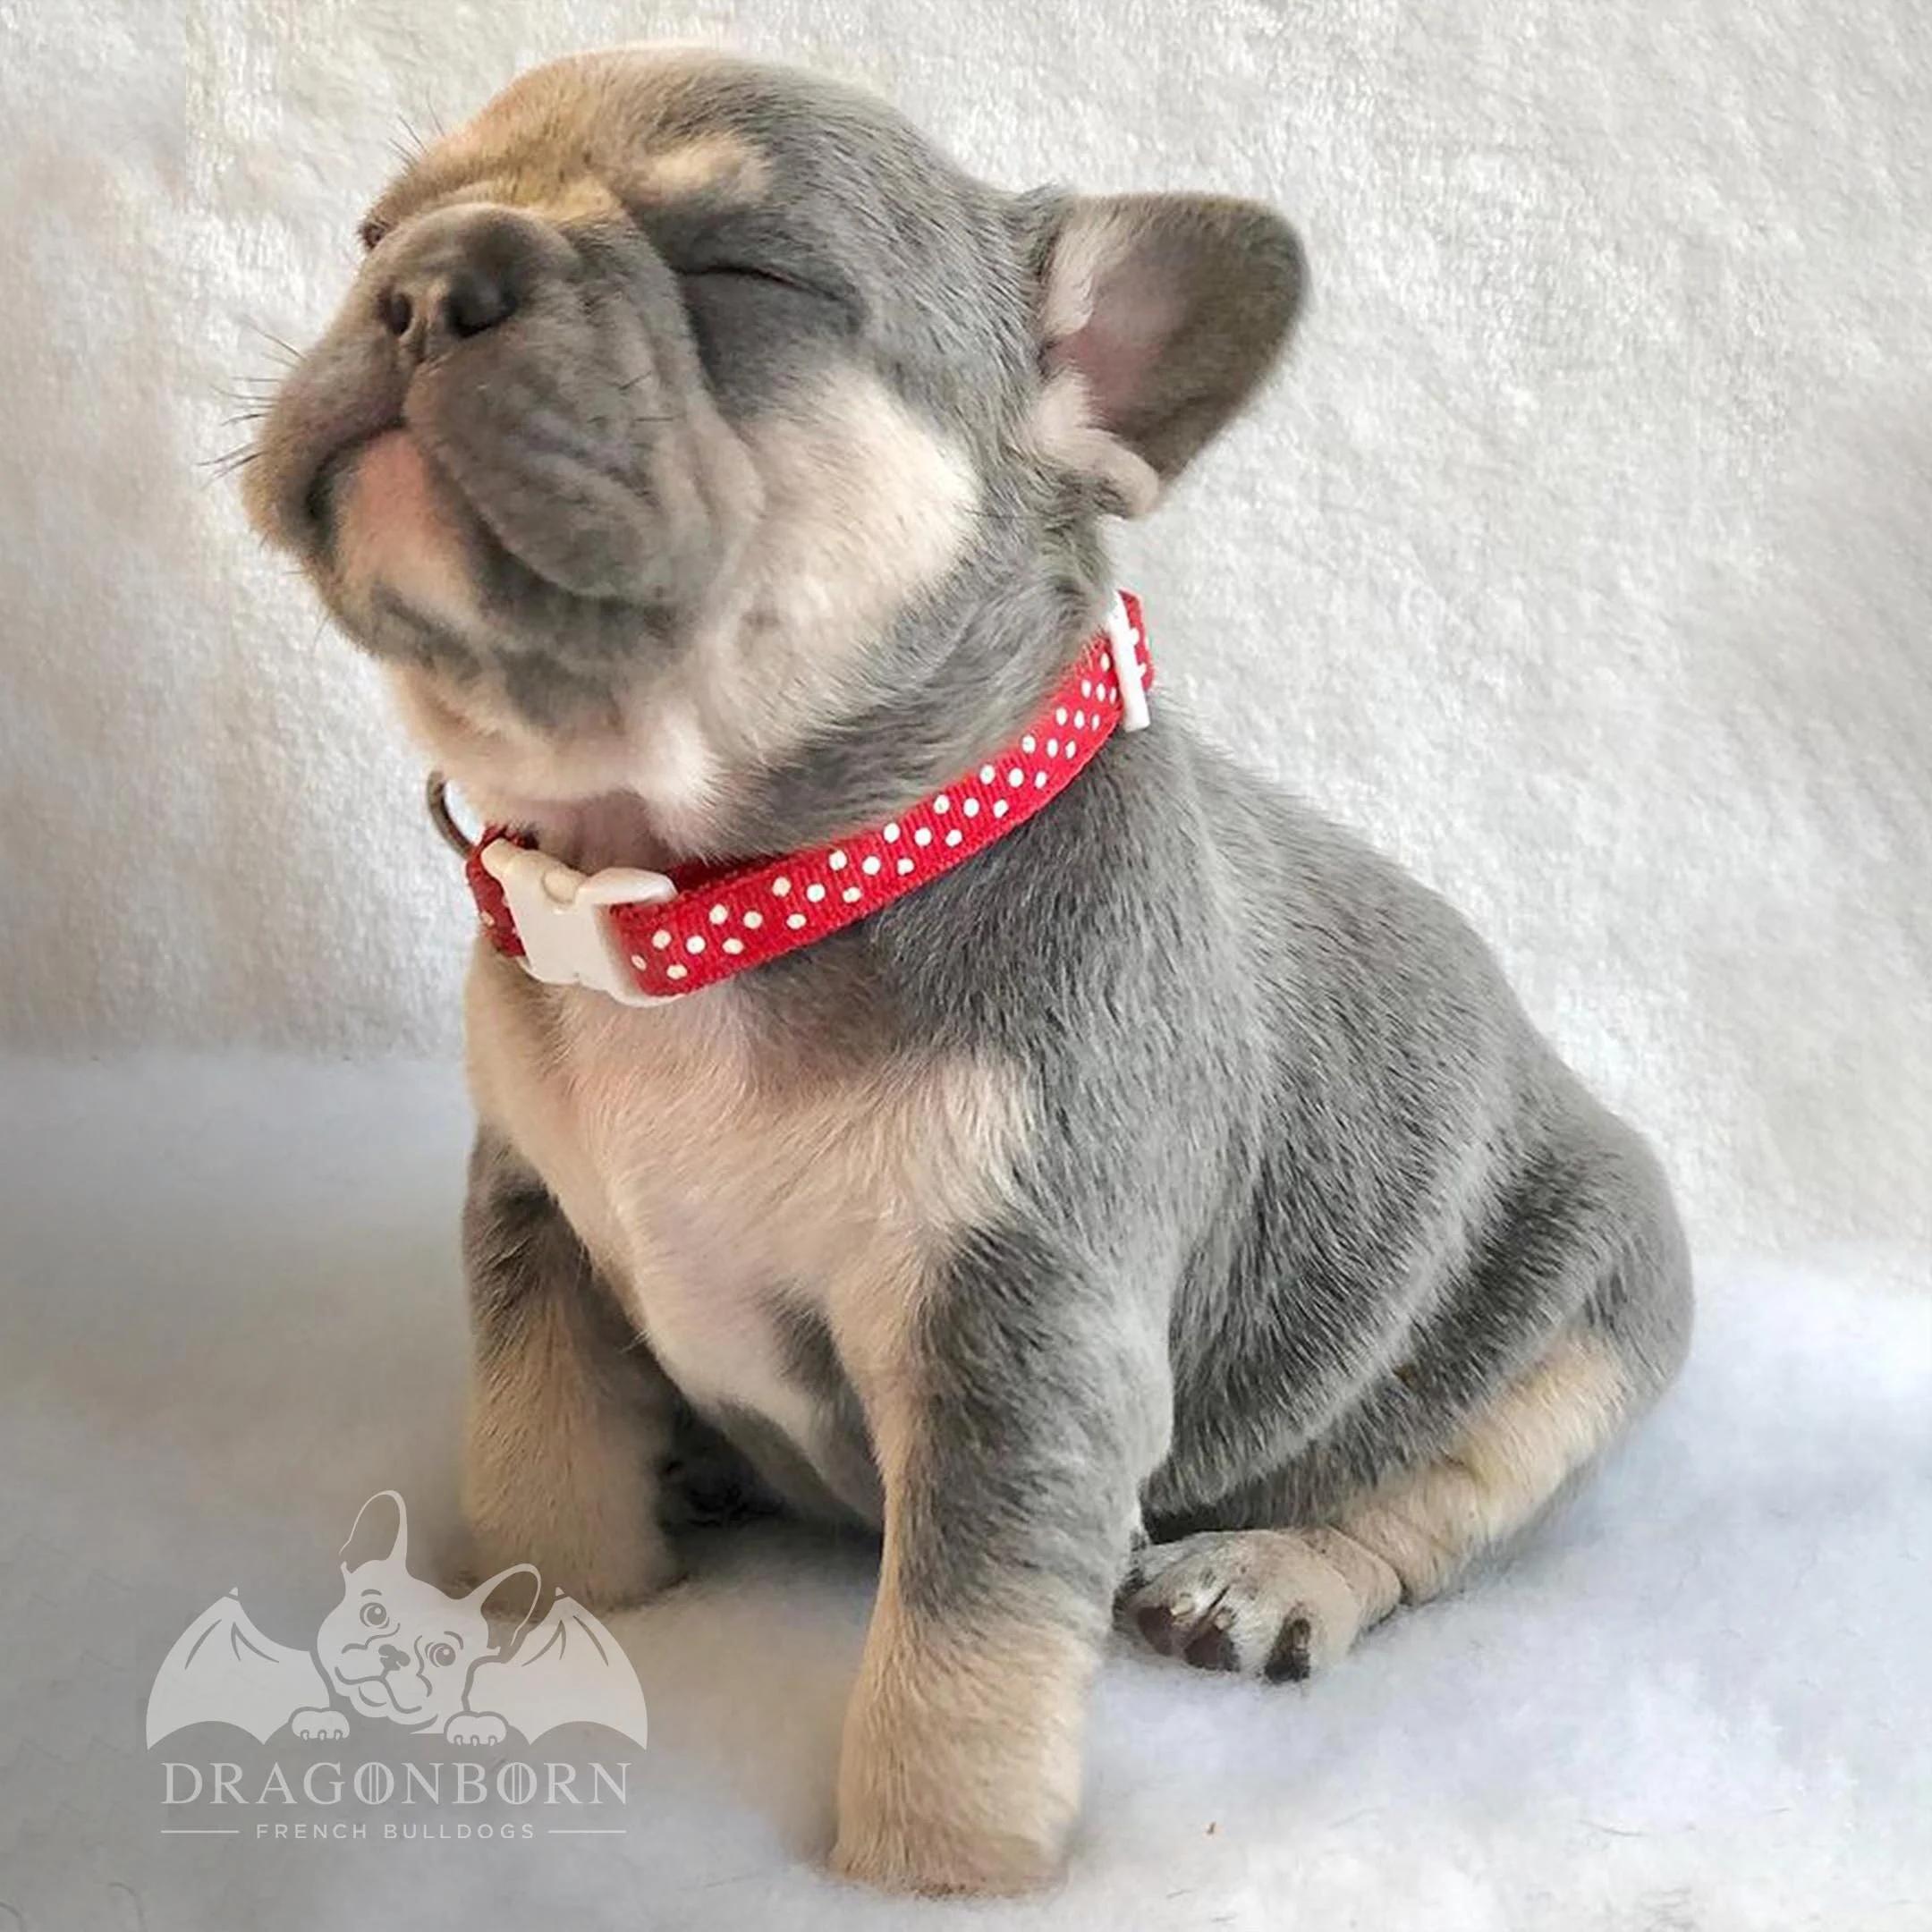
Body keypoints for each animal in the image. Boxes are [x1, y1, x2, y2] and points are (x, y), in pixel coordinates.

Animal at [242, 47, 1693, 1894]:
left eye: (745, 271)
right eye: (371, 232)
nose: (423, 286)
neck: (726, 898)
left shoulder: (1021, 1337)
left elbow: (964, 1654)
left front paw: (931, 1867)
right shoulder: (538, 1230)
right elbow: (538, 1453)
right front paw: (541, 1613)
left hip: (1585, 1328)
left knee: (1433, 1508)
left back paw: (1272, 1576)